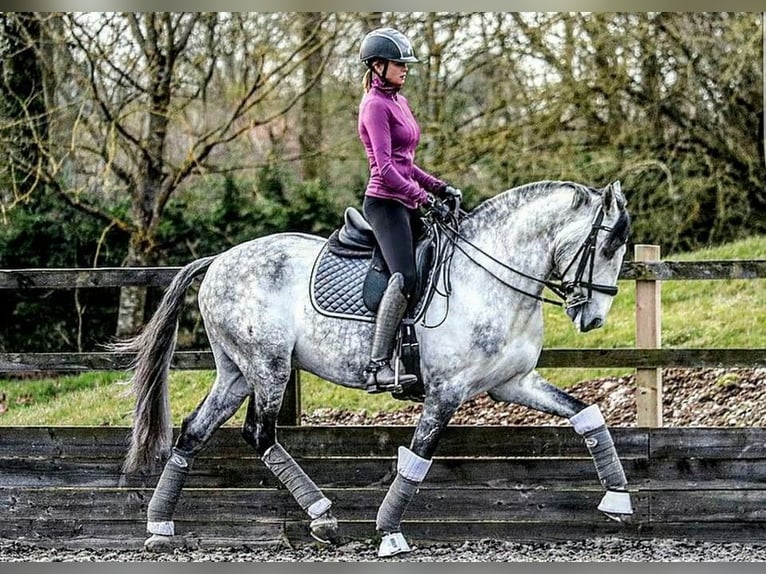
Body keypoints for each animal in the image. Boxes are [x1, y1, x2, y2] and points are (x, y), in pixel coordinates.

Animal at [118, 180, 636, 560]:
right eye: (608, 245)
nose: (594, 320)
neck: (491, 278)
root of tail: (219, 260)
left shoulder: (514, 384)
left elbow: (587, 414)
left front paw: (618, 498)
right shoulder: (445, 393)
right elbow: (418, 458)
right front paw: (389, 532)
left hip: (237, 373)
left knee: (193, 431)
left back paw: (160, 526)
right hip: (267, 367)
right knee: (259, 434)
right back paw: (323, 517)